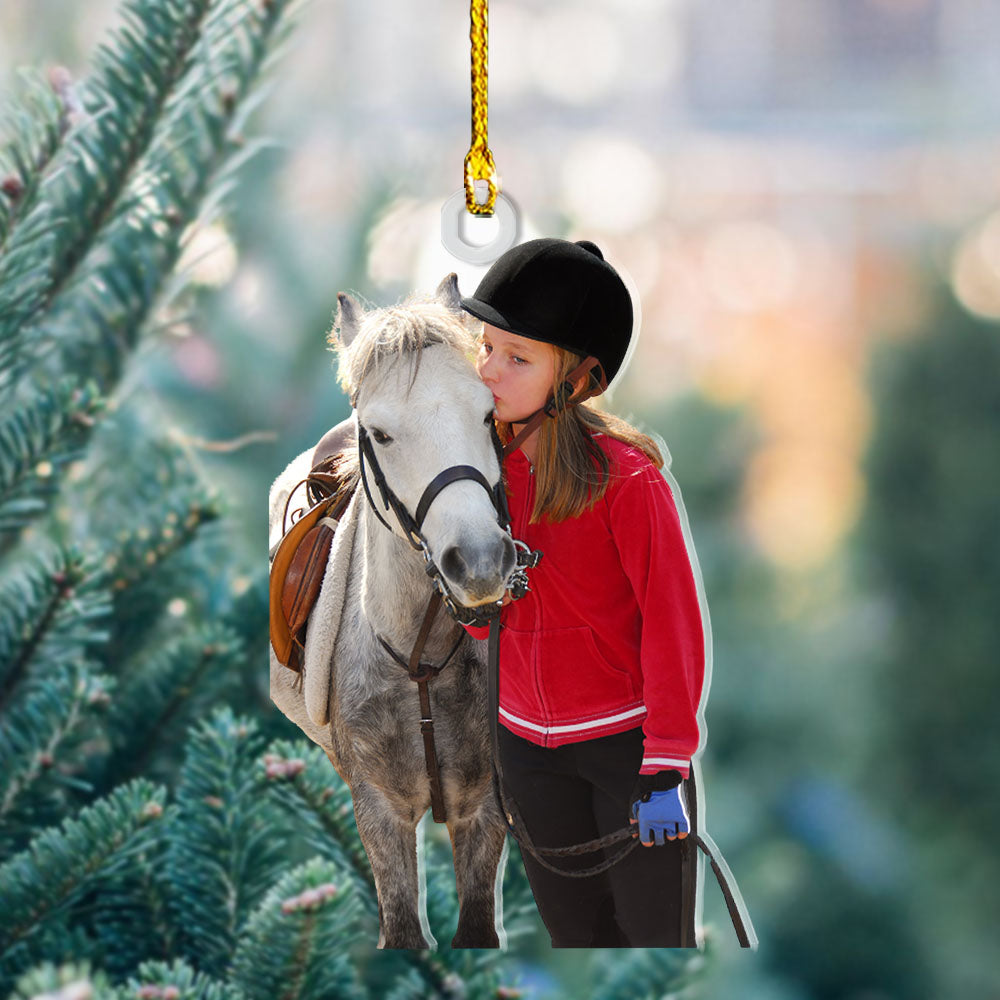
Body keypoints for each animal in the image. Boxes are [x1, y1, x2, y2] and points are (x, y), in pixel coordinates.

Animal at [269, 275, 514, 949]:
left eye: (489, 414)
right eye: (379, 433)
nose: (479, 561)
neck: (419, 657)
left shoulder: (484, 807)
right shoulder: (379, 808)